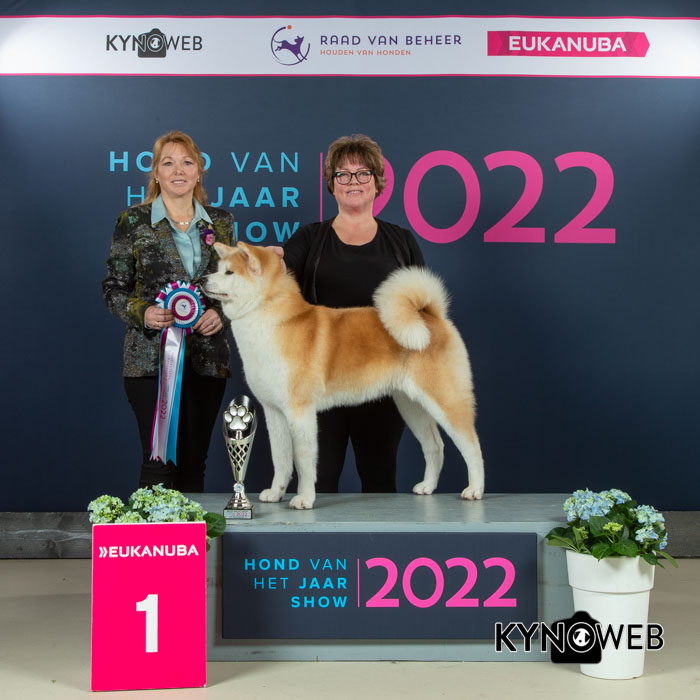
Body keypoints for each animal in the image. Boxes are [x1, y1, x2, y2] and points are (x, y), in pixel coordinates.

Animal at [205, 242, 484, 510]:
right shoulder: (274, 412)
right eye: (219, 269)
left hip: (446, 400)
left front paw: (304, 499)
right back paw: (427, 486)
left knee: (472, 446)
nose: (203, 279)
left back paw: (475, 490)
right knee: (435, 446)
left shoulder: (300, 412)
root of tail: (430, 315)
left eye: (229, 272)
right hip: (411, 406)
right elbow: (281, 459)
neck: (269, 321)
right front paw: (276, 493)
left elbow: (304, 461)